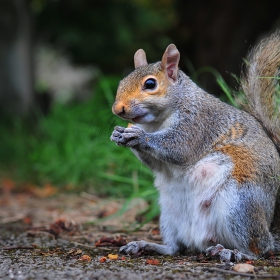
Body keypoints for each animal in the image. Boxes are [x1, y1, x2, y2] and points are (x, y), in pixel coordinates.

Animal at [109, 31, 280, 262]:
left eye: (150, 84)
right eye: (122, 82)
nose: (117, 109)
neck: (156, 122)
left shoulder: (199, 123)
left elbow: (179, 148)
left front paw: (139, 136)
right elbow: (157, 164)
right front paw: (118, 134)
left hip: (239, 207)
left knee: (258, 250)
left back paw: (233, 252)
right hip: (169, 214)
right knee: (175, 248)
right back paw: (145, 245)